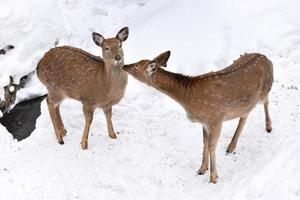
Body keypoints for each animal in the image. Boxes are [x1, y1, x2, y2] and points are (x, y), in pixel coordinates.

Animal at [122, 51, 274, 183]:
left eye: (135, 67)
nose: (124, 66)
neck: (188, 97)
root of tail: (267, 58)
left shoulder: (216, 117)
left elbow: (212, 145)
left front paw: (213, 177)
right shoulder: (205, 122)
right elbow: (204, 143)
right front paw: (201, 169)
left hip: (264, 90)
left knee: (266, 101)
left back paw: (268, 127)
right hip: (247, 101)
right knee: (245, 114)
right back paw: (231, 147)